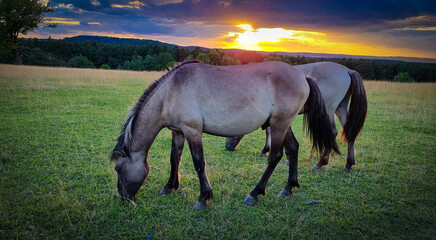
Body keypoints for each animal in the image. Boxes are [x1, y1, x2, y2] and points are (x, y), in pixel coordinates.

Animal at [110, 61, 338, 209]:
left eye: (117, 168)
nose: (123, 198)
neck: (171, 91)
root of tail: (303, 77)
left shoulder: (193, 131)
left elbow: (198, 163)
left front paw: (204, 197)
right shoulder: (178, 131)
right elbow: (175, 158)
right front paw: (170, 186)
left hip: (279, 124)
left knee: (275, 156)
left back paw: (254, 194)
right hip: (283, 124)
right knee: (292, 149)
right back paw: (288, 188)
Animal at [225, 61, 368, 171]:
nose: (228, 148)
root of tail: (347, 70)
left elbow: (270, 132)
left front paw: (269, 152)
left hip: (328, 110)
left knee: (332, 133)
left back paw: (321, 163)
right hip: (340, 108)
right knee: (350, 132)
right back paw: (348, 164)